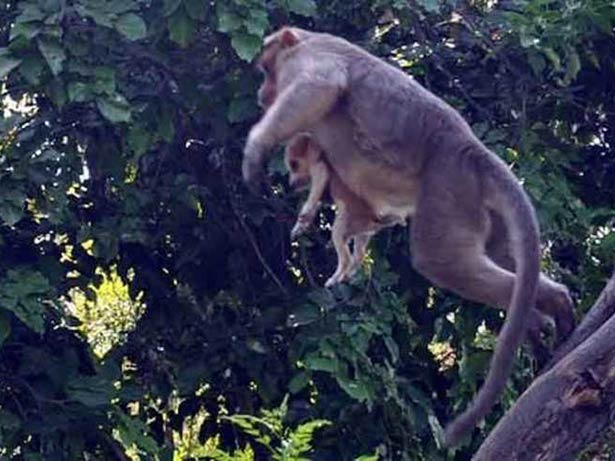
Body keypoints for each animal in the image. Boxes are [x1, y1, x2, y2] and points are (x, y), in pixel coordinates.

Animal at [286, 131, 410, 286]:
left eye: (294, 164)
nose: (291, 183)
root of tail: (375, 218)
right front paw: (300, 226)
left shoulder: (319, 169)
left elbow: (316, 191)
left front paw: (303, 219)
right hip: (364, 230)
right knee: (359, 252)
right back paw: (348, 274)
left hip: (348, 223)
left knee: (343, 249)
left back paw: (335, 278)